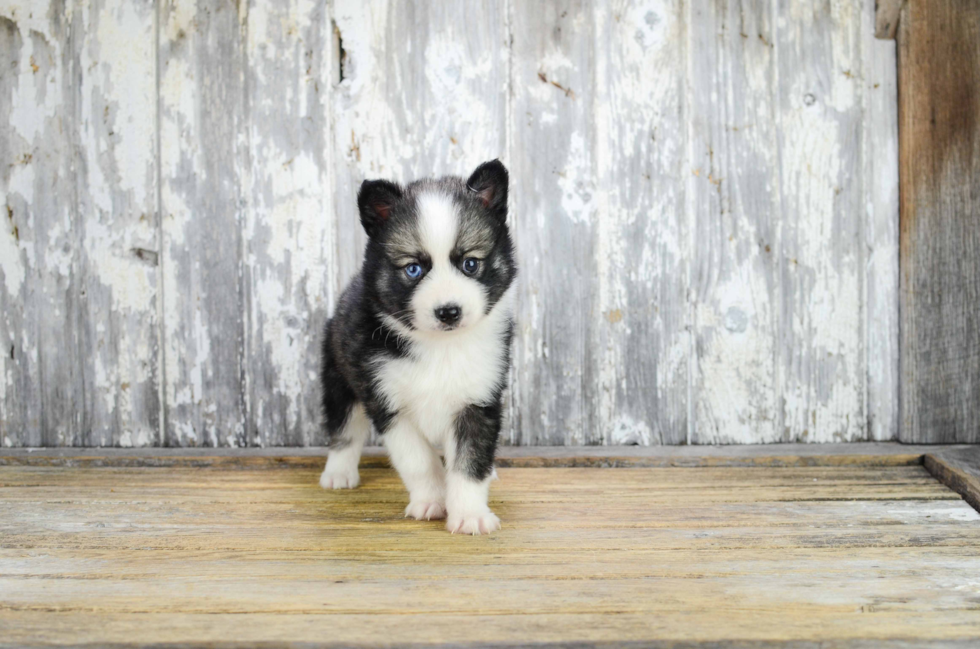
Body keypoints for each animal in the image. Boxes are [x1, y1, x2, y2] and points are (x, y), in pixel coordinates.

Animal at [322, 159, 520, 536]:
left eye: (470, 264)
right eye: (413, 269)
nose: (449, 311)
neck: (440, 346)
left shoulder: (478, 400)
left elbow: (469, 460)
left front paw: (470, 514)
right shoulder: (387, 403)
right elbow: (418, 460)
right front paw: (431, 501)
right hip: (339, 376)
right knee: (345, 427)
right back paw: (338, 472)